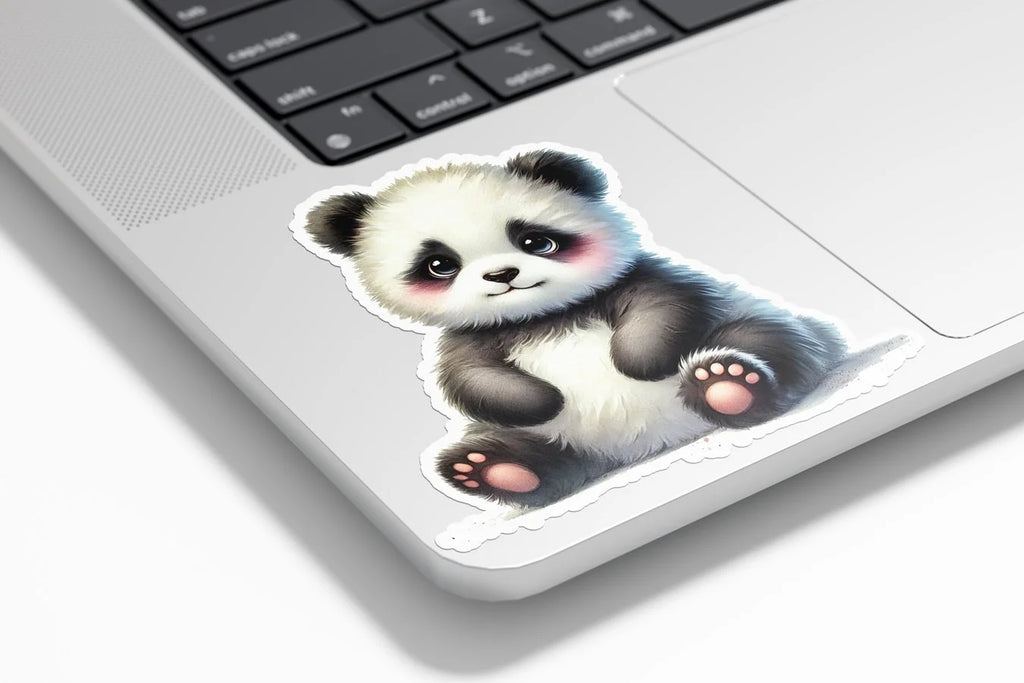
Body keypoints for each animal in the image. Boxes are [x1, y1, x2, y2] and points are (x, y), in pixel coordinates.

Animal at [298, 146, 847, 508]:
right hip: (556, 440)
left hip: (757, 322)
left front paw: (635, 361)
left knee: (770, 342)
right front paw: (543, 399)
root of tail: (652, 442)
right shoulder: (472, 337)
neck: (545, 316)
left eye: (536, 240)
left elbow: (665, 307)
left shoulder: (641, 280)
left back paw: (727, 386)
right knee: (538, 457)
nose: (502, 275)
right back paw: (493, 470)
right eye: (439, 265)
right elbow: (471, 378)